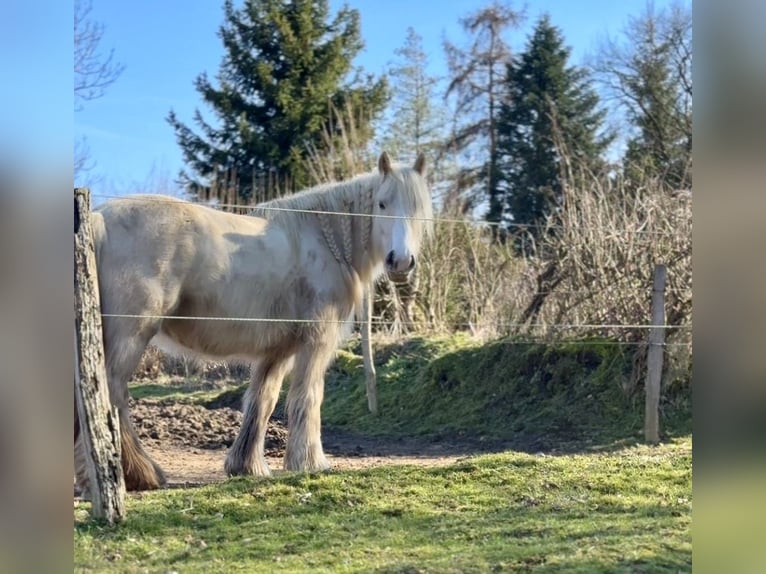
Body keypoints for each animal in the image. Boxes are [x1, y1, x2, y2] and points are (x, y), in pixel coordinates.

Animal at [74, 152, 432, 493]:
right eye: (382, 203)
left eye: (419, 207)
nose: (400, 261)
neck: (322, 238)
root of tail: (99, 218)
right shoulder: (316, 341)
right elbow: (308, 396)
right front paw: (310, 463)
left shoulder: (278, 350)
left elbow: (263, 401)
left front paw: (247, 466)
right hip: (130, 334)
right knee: (112, 392)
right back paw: (138, 474)